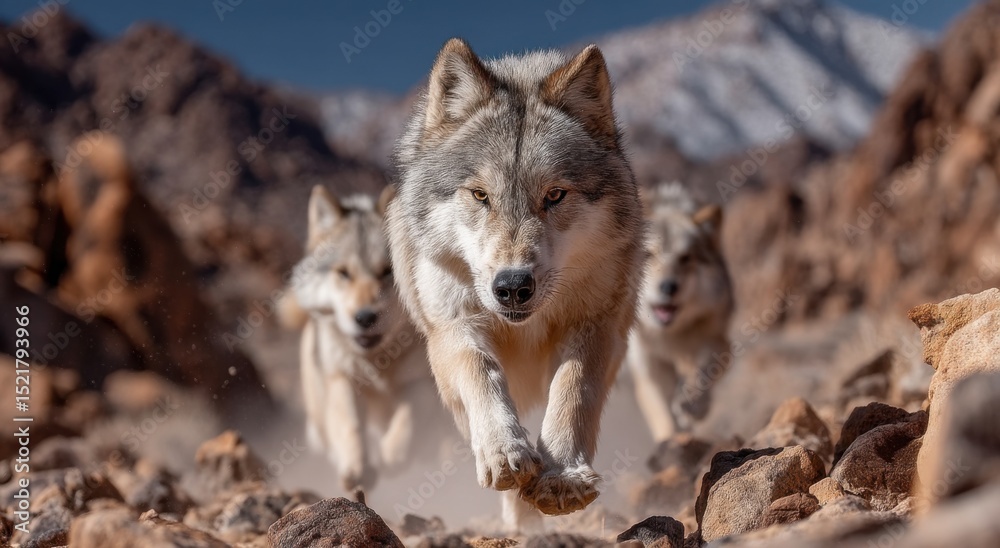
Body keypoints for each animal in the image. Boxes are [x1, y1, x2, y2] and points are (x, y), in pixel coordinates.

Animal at [288, 185, 444, 497]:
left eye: (387, 272)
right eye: (343, 273)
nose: (364, 317)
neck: (379, 360)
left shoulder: (423, 381)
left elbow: (409, 413)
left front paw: (392, 455)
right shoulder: (342, 378)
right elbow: (349, 424)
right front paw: (356, 468)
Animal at [386, 38, 645, 528]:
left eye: (555, 195)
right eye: (480, 195)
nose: (512, 286)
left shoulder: (596, 323)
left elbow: (573, 389)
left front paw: (562, 475)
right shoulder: (452, 327)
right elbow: (480, 371)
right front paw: (505, 452)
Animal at [628, 183, 733, 443]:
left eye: (685, 258)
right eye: (649, 255)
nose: (668, 287)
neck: (669, 335)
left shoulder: (717, 342)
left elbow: (702, 376)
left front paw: (693, 406)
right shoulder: (647, 363)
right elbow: (661, 411)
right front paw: (672, 438)